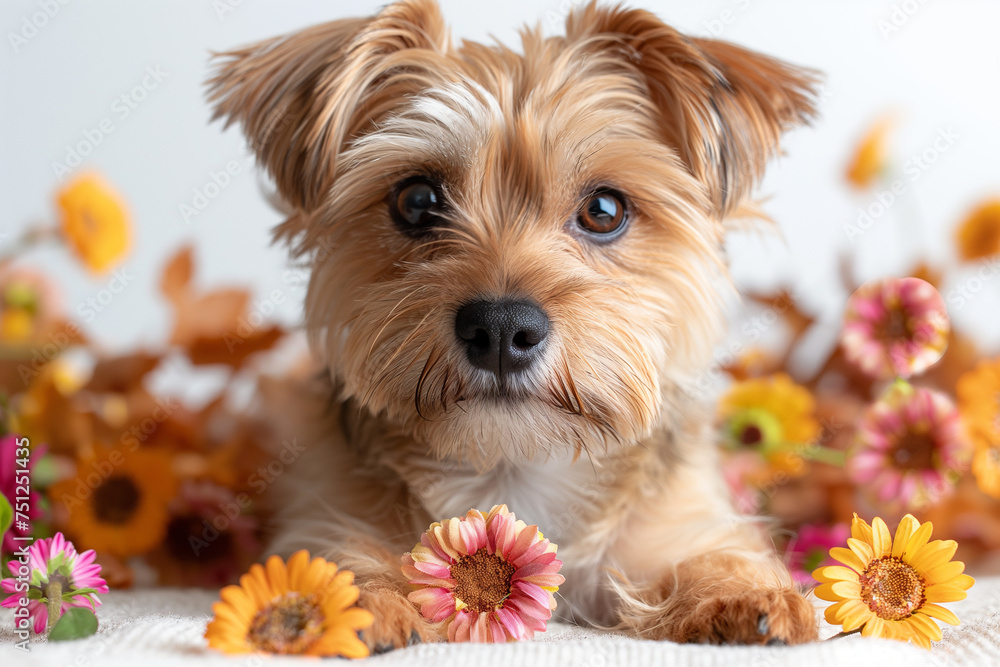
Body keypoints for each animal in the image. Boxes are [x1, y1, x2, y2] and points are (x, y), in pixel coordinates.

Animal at [209, 0, 820, 648]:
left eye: (604, 210)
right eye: (417, 200)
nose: (500, 328)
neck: (511, 473)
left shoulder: (680, 522)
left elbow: (711, 553)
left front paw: (740, 592)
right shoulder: (323, 513)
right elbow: (336, 557)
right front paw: (352, 602)